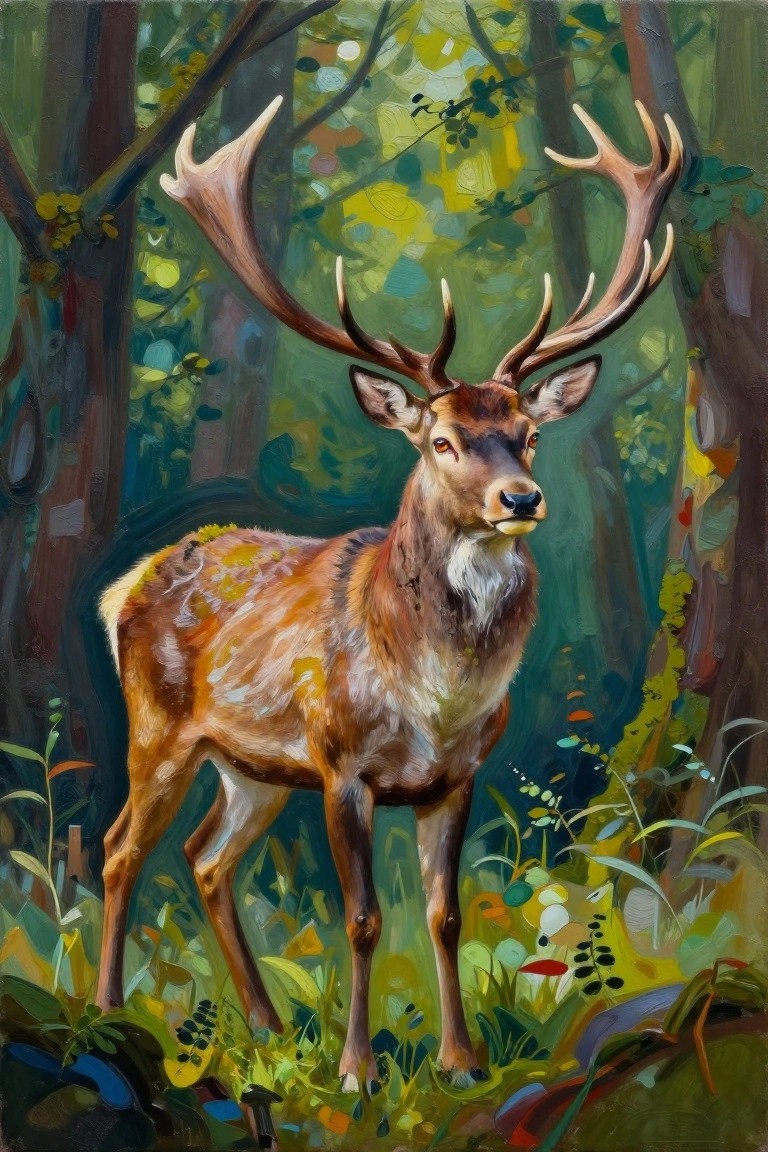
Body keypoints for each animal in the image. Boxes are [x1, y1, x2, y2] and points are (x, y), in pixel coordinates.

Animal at [96, 96, 682, 1091]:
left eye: (528, 433)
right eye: (441, 441)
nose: (520, 499)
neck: (435, 697)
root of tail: (122, 586)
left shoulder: (459, 775)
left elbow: (445, 914)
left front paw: (460, 1062)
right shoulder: (343, 765)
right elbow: (365, 919)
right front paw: (358, 1072)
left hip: (250, 766)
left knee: (206, 861)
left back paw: (268, 1028)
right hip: (159, 726)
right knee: (119, 848)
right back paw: (99, 1011)